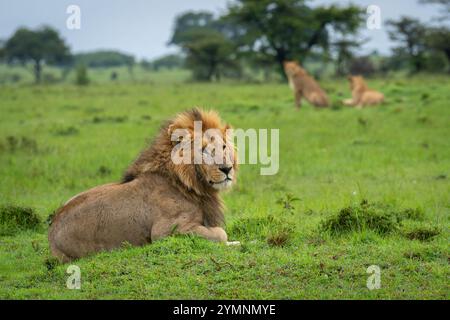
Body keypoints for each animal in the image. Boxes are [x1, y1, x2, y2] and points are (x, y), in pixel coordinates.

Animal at [48, 109, 237, 262]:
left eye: (224, 147)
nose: (227, 168)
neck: (190, 185)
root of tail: (51, 232)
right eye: (204, 150)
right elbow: (221, 233)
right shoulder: (165, 231)